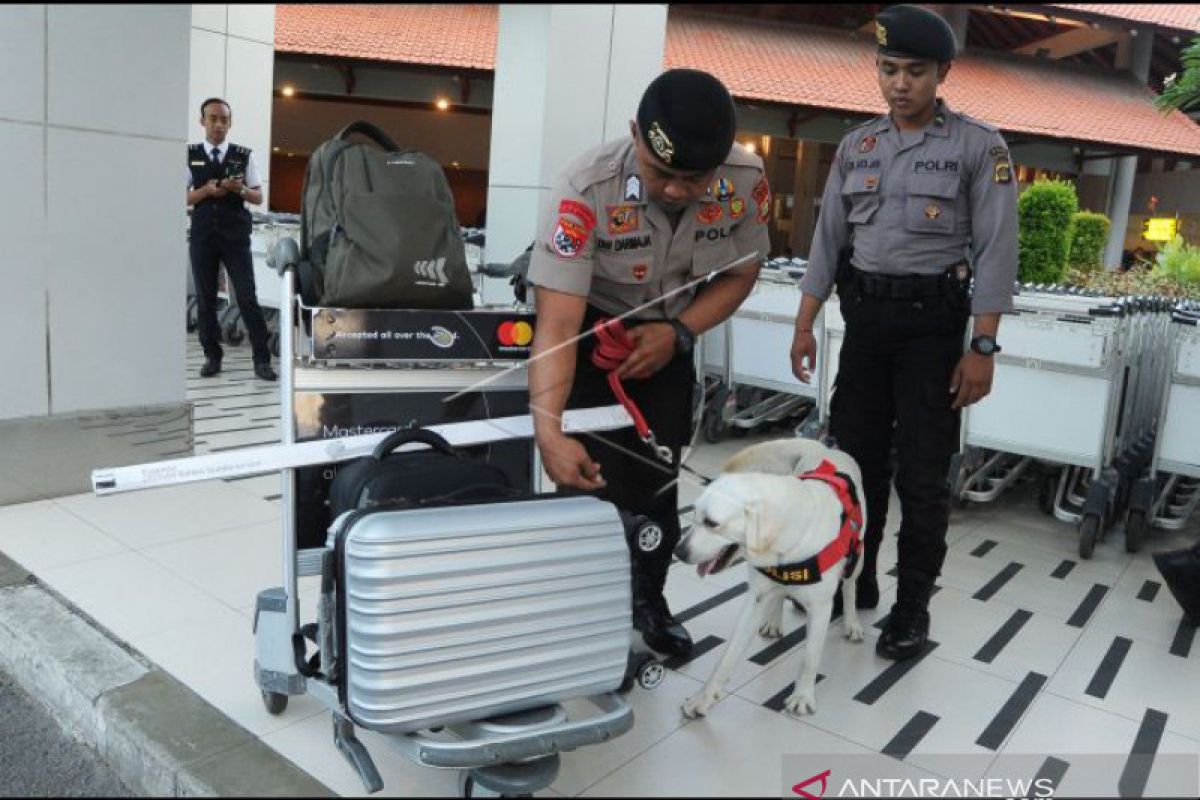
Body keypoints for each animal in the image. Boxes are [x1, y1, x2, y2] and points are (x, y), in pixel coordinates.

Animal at [676, 438, 864, 719]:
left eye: (712, 523)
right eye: (695, 514)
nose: (677, 552)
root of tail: (823, 448)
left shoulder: (821, 608)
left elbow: (810, 658)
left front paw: (802, 696)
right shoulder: (755, 599)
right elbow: (726, 657)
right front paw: (704, 697)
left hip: (858, 555)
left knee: (851, 586)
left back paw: (852, 623)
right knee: (779, 594)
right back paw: (774, 622)